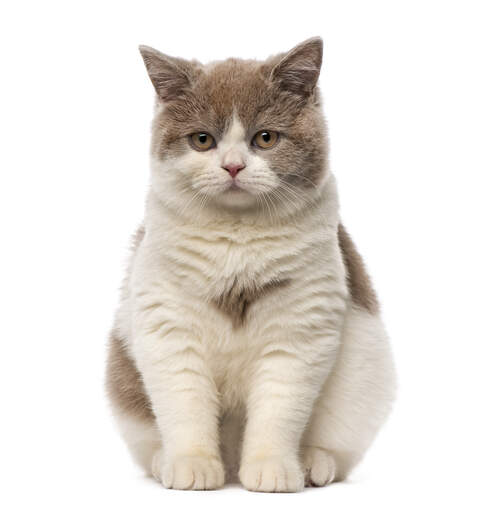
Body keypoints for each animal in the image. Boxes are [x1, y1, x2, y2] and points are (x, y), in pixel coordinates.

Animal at [105, 36, 394, 492]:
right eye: (202, 140)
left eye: (266, 138)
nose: (233, 166)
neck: (236, 239)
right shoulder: (168, 329)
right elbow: (185, 406)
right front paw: (190, 464)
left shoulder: (298, 334)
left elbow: (278, 411)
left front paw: (273, 469)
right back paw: (165, 461)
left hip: (366, 377)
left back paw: (313, 463)